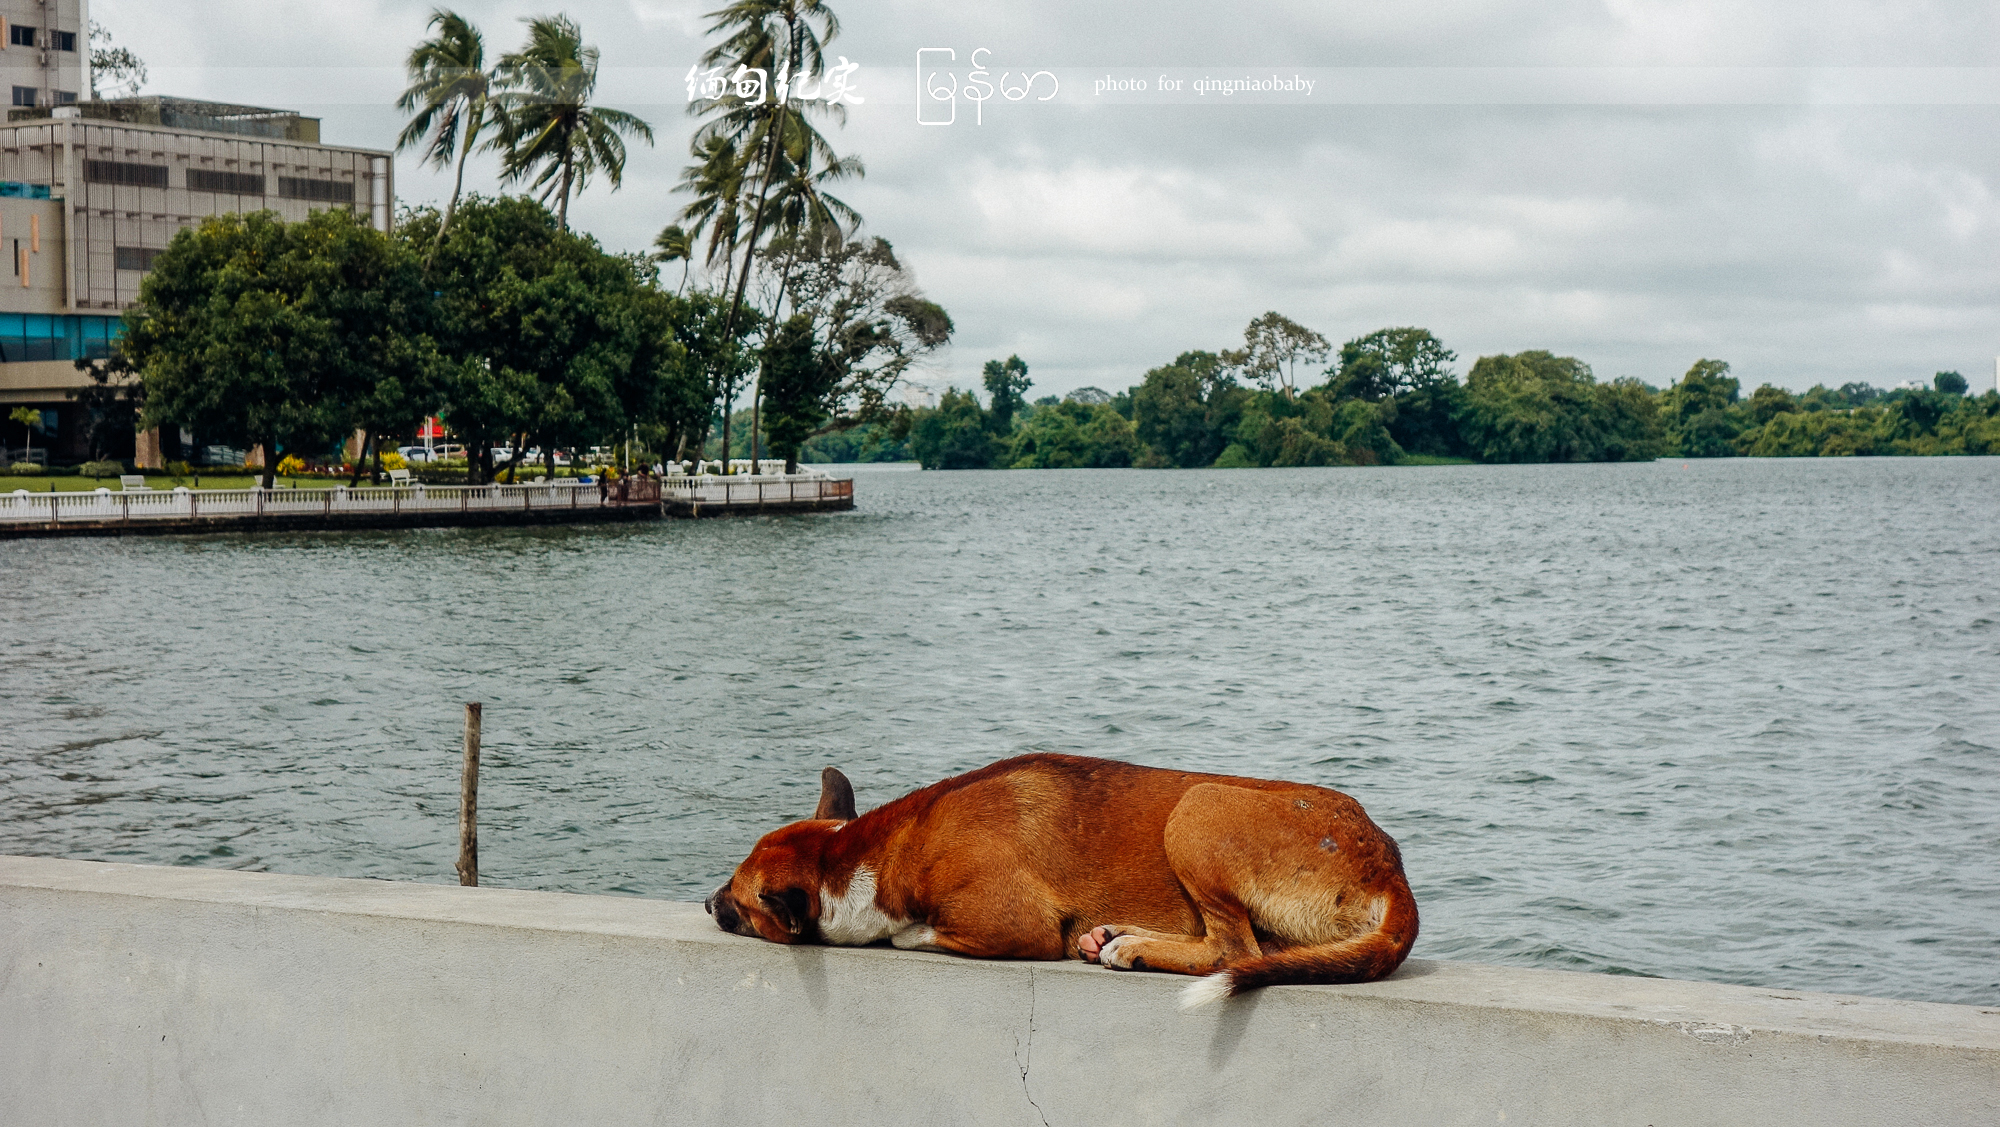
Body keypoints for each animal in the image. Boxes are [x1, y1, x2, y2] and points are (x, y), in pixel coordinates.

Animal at [704, 751, 1424, 1007]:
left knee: (1232, 950)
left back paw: (1133, 946)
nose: (708, 902)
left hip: (1197, 808)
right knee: (1251, 947)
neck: (867, 849)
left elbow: (917, 933)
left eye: (739, 897)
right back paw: (1119, 936)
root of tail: (1390, 868)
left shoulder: (1012, 924)